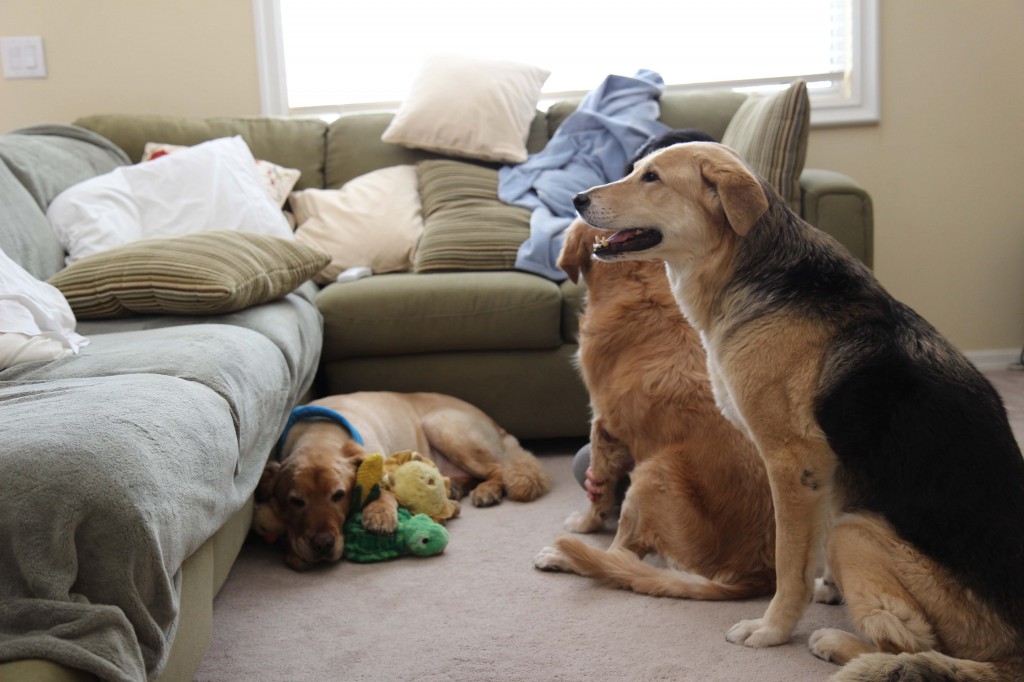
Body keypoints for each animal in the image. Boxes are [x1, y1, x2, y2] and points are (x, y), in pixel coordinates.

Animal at [256, 387, 552, 569]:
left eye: (338, 495)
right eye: (296, 501)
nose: (322, 544)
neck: (320, 434)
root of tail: (497, 426)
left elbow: (385, 489)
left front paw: (380, 513)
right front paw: (293, 551)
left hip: (443, 426)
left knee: (499, 468)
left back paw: (487, 490)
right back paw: (457, 488)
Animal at [532, 216, 770, 593]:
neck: (636, 280)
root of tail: (755, 573)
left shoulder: (602, 421)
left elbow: (599, 486)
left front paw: (586, 522)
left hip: (652, 472)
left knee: (618, 559)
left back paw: (563, 557)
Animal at [573, 140, 1024, 675]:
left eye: (653, 178)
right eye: (636, 169)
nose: (577, 199)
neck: (743, 270)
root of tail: (1015, 656)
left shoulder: (791, 464)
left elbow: (790, 563)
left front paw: (772, 629)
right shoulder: (822, 473)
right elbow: (808, 552)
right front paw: (823, 587)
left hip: (857, 531)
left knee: (907, 645)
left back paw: (837, 642)